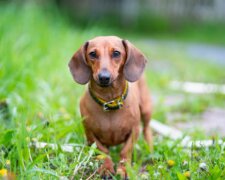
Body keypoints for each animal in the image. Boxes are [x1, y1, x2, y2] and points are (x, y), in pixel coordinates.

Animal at [68, 35, 153, 178]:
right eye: (92, 54)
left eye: (116, 53)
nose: (104, 77)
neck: (110, 101)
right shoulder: (90, 133)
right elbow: (102, 151)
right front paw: (106, 168)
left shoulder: (134, 130)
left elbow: (125, 151)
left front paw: (123, 169)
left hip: (146, 110)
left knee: (147, 129)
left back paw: (150, 148)